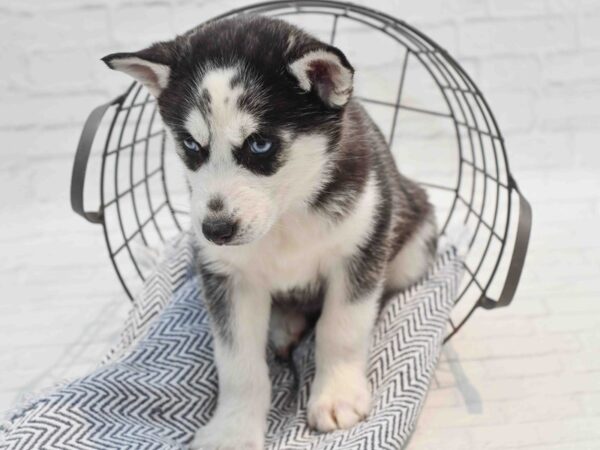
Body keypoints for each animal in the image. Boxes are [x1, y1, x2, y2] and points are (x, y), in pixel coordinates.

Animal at [104, 14, 436, 450]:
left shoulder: (359, 250)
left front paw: (337, 395)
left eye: (260, 144)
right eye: (191, 145)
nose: (215, 230)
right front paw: (233, 429)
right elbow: (238, 363)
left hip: (411, 244)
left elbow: (340, 328)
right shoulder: (227, 278)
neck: (285, 217)